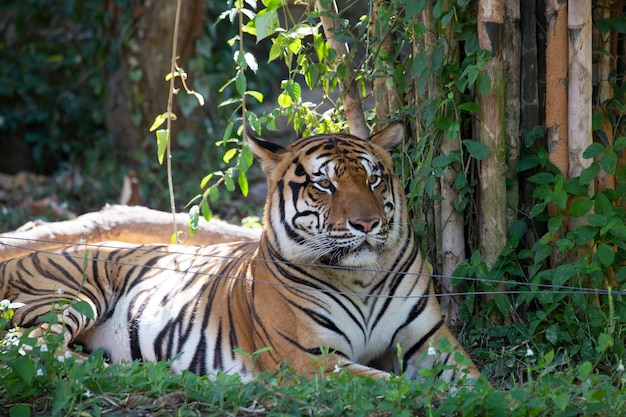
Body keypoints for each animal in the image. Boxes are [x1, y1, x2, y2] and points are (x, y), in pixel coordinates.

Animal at [0, 122, 478, 380]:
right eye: (325, 183)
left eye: (374, 179)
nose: (367, 224)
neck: (361, 276)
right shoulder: (313, 359)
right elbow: (392, 384)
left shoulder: (430, 340)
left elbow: (477, 382)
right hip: (68, 293)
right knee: (31, 349)